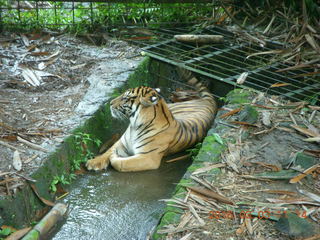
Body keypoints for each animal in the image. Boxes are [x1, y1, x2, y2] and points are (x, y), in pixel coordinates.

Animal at [86, 69, 218, 172]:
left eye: (126, 98)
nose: (110, 103)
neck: (134, 125)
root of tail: (209, 102)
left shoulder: (148, 158)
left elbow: (121, 163)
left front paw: (114, 158)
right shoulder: (121, 142)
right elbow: (108, 150)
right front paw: (93, 162)